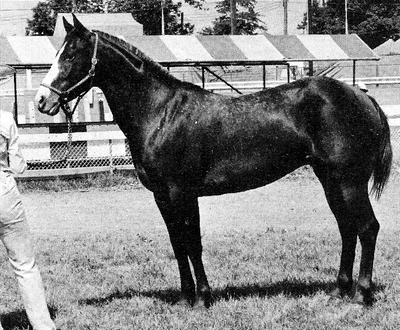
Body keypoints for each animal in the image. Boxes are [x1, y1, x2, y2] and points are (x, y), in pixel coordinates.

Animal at [36, 15, 392, 308]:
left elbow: (193, 243)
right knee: (347, 228)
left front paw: (204, 299)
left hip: (349, 181)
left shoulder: (182, 191)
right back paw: (340, 291)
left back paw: (363, 295)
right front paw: (185, 298)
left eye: (70, 55)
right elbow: (177, 243)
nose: (42, 100)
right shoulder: (162, 196)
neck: (160, 112)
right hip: (331, 180)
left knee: (367, 228)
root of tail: (362, 96)